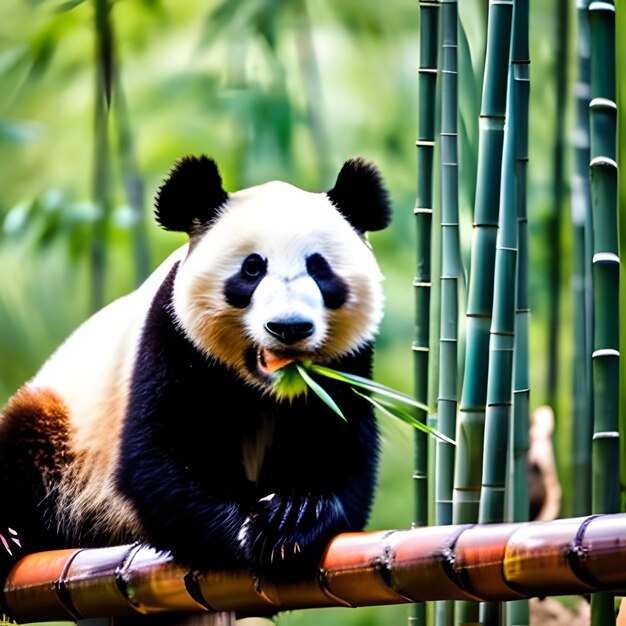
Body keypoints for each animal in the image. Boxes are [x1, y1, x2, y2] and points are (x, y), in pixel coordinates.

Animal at [0, 154, 390, 592]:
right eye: (252, 269)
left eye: (320, 270)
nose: (289, 327)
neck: (261, 385)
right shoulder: (173, 336)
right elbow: (161, 456)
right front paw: (248, 528)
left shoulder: (347, 364)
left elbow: (341, 452)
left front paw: (291, 518)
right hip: (65, 433)